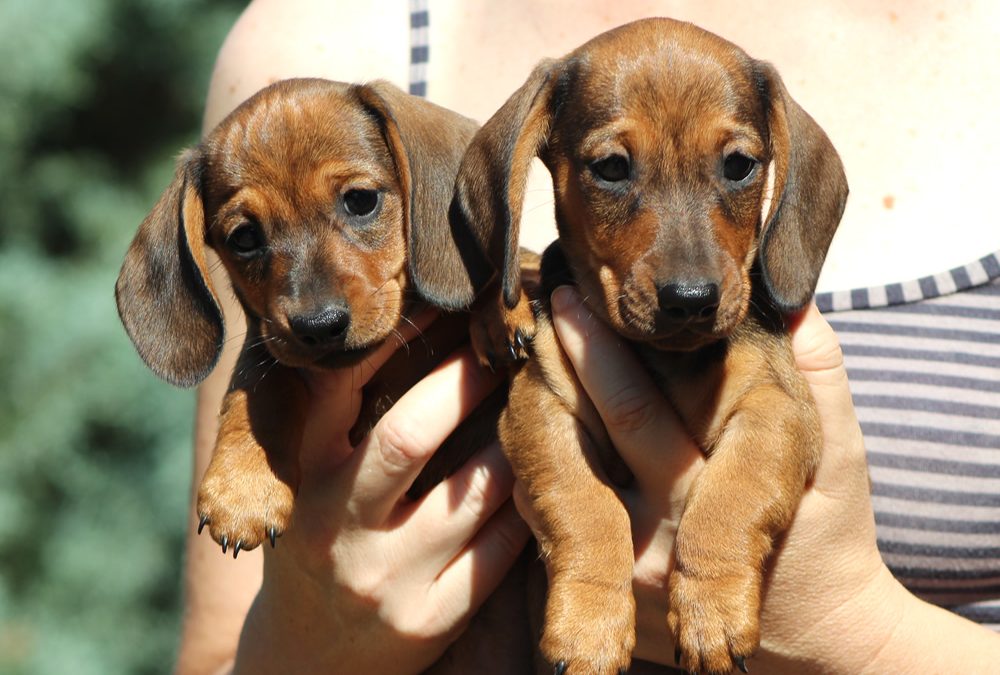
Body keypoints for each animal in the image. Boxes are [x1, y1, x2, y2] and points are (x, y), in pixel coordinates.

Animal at [114, 78, 488, 556]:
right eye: (244, 238)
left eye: (361, 200)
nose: (320, 327)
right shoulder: (268, 340)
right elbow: (261, 382)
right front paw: (244, 486)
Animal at [446, 15, 852, 675]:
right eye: (612, 168)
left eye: (740, 165)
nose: (691, 300)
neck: (668, 360)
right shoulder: (541, 407)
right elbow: (586, 506)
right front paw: (590, 622)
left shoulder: (779, 408)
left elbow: (731, 495)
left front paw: (711, 607)